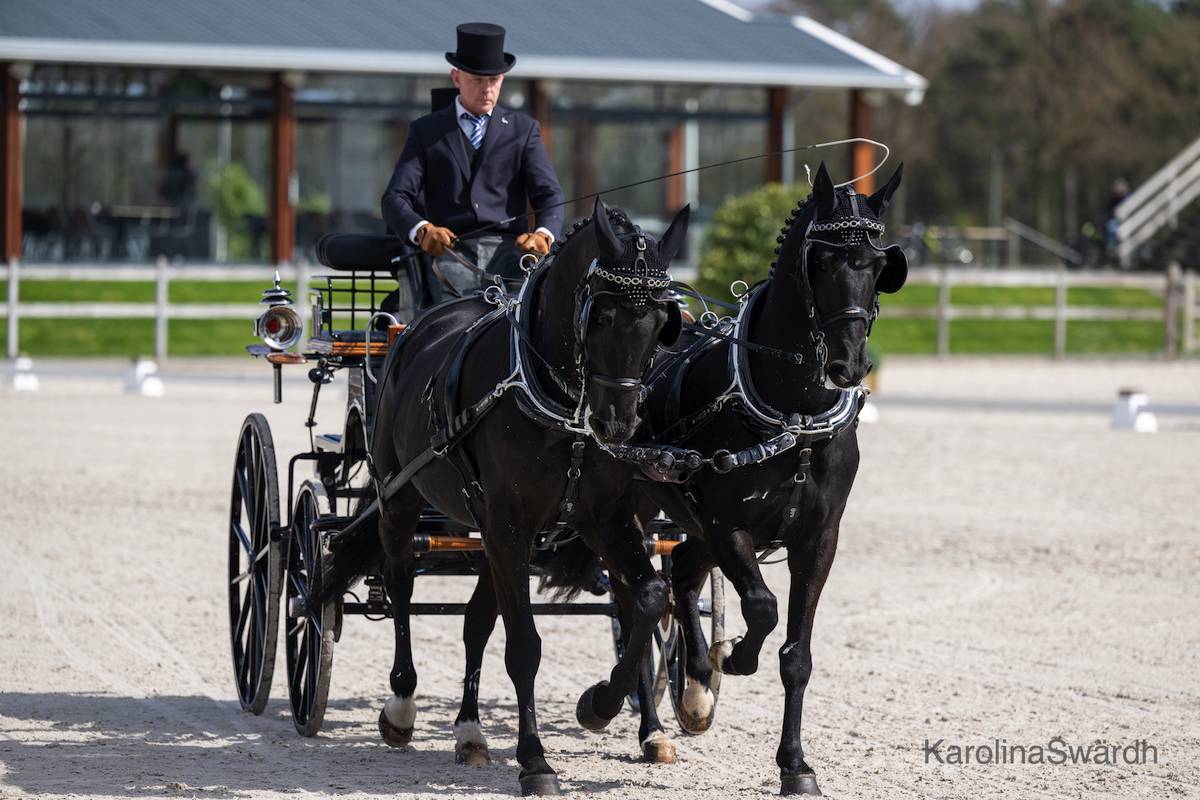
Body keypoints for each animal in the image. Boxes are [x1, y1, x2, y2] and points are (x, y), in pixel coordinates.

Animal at [311, 197, 691, 796]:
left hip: (488, 529)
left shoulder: (600, 518)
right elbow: (525, 645)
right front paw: (535, 760)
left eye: (661, 322)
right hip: (402, 499)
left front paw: (601, 705)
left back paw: (470, 733)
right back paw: (401, 706)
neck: (555, 401)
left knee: (475, 619)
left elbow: (650, 598)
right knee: (398, 586)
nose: (617, 424)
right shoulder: (509, 524)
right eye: (601, 316)